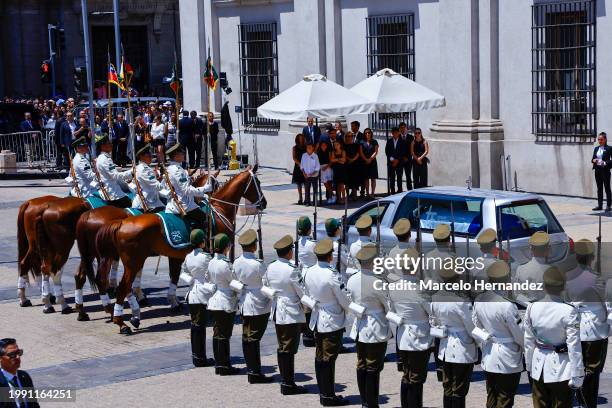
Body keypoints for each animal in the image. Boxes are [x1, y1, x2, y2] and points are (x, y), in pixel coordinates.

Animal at [72, 170, 219, 322]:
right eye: (216, 185)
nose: (209, 201)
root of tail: (88, 214)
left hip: (90, 253)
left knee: (82, 275)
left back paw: (84, 311)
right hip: (103, 255)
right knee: (103, 279)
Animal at [97, 166, 266, 334]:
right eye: (257, 182)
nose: (263, 203)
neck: (220, 209)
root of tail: (121, 222)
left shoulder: (176, 256)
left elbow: (175, 276)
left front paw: (176, 302)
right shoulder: (215, 253)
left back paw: (132, 315)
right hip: (133, 262)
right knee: (122, 287)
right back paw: (122, 322)